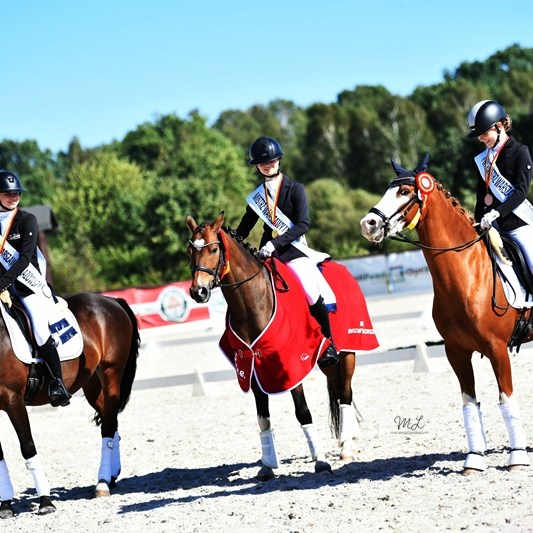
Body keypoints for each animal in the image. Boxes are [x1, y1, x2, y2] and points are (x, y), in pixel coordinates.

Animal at [0, 293, 140, 518]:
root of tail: (110, 299)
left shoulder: (13, 400)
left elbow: (28, 447)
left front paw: (45, 502)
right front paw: (5, 505)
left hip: (111, 372)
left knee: (109, 424)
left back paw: (102, 483)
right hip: (92, 384)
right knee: (110, 420)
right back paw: (111, 476)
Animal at [186, 211, 377, 480]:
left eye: (214, 249)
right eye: (189, 252)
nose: (198, 292)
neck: (252, 301)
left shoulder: (291, 364)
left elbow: (303, 412)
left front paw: (320, 461)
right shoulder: (253, 366)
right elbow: (263, 418)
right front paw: (267, 465)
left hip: (350, 351)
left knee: (346, 394)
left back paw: (347, 448)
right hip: (327, 360)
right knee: (339, 390)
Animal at [360, 153, 532, 473]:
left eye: (404, 191)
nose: (369, 224)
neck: (467, 273)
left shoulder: (497, 349)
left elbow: (506, 398)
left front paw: (517, 458)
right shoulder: (456, 352)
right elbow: (469, 403)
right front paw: (474, 460)